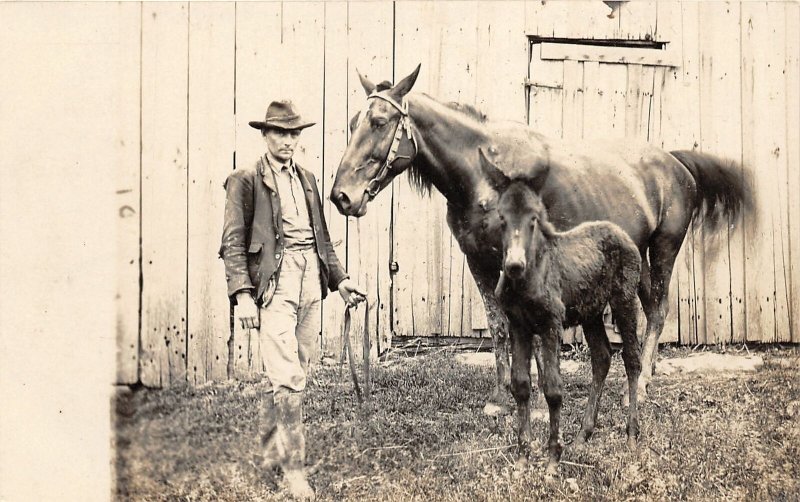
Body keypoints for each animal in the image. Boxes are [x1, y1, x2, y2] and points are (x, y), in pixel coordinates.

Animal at [328, 64, 752, 414]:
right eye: (352, 123)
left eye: (380, 122)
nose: (341, 196)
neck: (485, 177)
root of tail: (675, 162)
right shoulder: (479, 261)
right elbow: (499, 326)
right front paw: (501, 397)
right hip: (639, 253)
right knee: (651, 309)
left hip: (664, 249)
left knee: (660, 311)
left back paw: (642, 386)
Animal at [482, 148, 644, 474]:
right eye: (502, 218)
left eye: (534, 218)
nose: (514, 265)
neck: (526, 281)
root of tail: (621, 232)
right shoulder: (519, 326)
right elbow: (521, 385)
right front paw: (523, 458)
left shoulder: (551, 324)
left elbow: (553, 389)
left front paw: (552, 461)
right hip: (592, 311)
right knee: (602, 357)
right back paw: (583, 434)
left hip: (624, 299)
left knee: (632, 359)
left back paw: (632, 435)